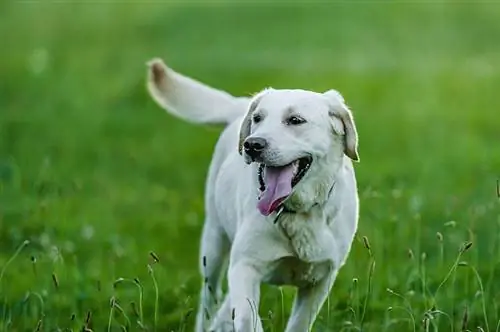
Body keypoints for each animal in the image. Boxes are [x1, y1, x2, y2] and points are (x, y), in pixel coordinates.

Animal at [145, 58, 360, 330]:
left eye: (295, 120)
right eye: (258, 118)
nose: (252, 144)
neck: (296, 212)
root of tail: (240, 104)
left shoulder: (321, 278)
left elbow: (299, 322)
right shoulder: (245, 267)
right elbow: (248, 317)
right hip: (213, 244)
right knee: (210, 299)